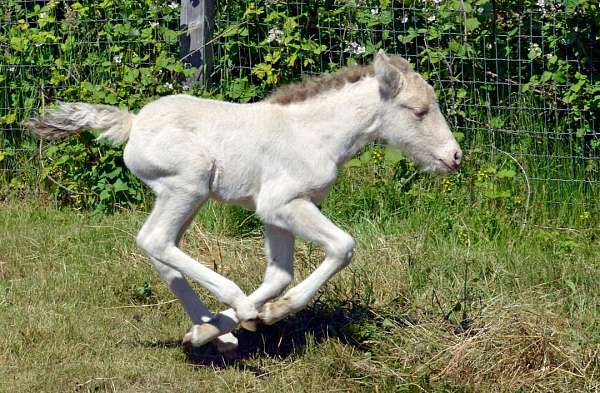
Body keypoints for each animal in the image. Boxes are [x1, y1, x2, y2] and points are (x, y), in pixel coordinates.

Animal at [28, 49, 462, 356]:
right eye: (419, 111)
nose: (454, 157)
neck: (316, 134)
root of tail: (133, 125)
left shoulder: (277, 212)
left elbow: (279, 274)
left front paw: (225, 326)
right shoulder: (281, 203)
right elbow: (342, 246)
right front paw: (259, 314)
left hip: (185, 196)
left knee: (160, 249)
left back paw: (215, 334)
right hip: (188, 184)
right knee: (155, 241)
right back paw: (233, 304)